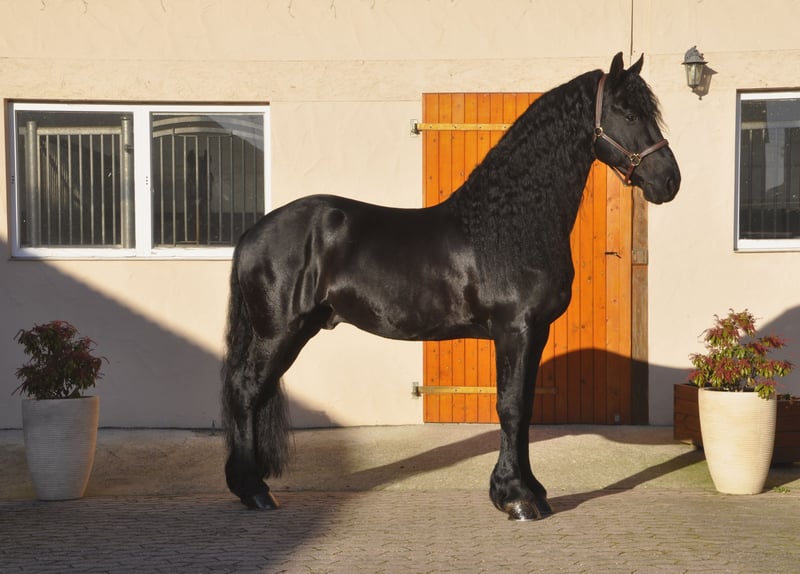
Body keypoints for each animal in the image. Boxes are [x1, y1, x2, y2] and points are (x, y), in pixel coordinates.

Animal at [221, 53, 681, 521]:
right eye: (628, 113)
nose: (670, 181)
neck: (510, 224)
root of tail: (253, 232)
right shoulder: (515, 330)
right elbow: (510, 407)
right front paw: (516, 497)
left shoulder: (536, 333)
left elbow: (526, 408)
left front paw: (530, 490)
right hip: (279, 332)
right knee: (245, 390)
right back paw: (254, 490)